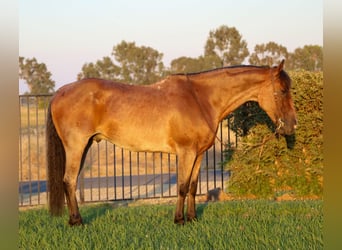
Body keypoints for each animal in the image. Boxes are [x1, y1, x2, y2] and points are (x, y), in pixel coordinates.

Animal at [46, 59, 296, 226]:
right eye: (283, 90)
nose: (292, 125)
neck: (200, 98)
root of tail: (60, 92)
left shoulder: (199, 153)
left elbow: (194, 186)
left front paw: (193, 218)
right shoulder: (186, 152)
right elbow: (183, 186)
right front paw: (179, 220)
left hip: (85, 145)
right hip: (76, 146)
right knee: (69, 181)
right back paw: (76, 222)